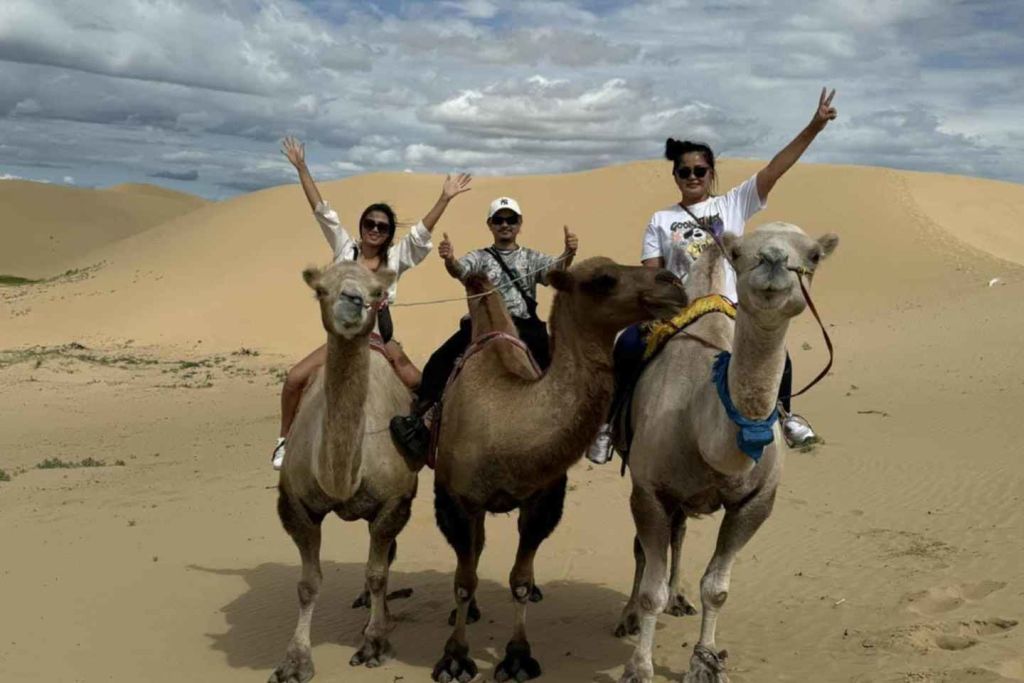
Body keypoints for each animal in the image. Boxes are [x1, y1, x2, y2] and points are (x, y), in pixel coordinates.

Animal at [269, 261, 421, 683]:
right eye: (321, 289)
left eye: (377, 293)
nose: (352, 301)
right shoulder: (295, 505)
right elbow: (308, 584)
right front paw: (295, 662)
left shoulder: (394, 501)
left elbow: (377, 572)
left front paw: (374, 644)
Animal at [430, 258, 687, 683]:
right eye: (603, 280)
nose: (673, 283)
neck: (507, 420)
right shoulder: (458, 500)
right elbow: (464, 582)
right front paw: (453, 657)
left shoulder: (542, 503)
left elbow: (519, 580)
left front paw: (518, 658)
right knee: (472, 554)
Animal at [614, 222, 839, 683]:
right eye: (738, 253)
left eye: (813, 255)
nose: (773, 260)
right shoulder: (649, 491)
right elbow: (649, 588)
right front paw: (640, 667)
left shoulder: (756, 501)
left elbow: (716, 589)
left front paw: (705, 661)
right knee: (646, 550)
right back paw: (628, 617)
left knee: (679, 534)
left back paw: (679, 599)